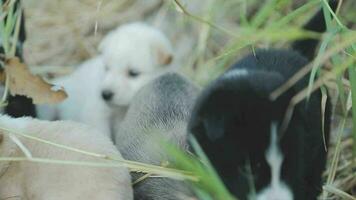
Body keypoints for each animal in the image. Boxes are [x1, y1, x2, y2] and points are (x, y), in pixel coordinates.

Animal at [37, 21, 174, 138]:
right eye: (107, 68)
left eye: (133, 73)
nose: (105, 94)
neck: (121, 109)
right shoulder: (97, 111)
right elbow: (102, 132)